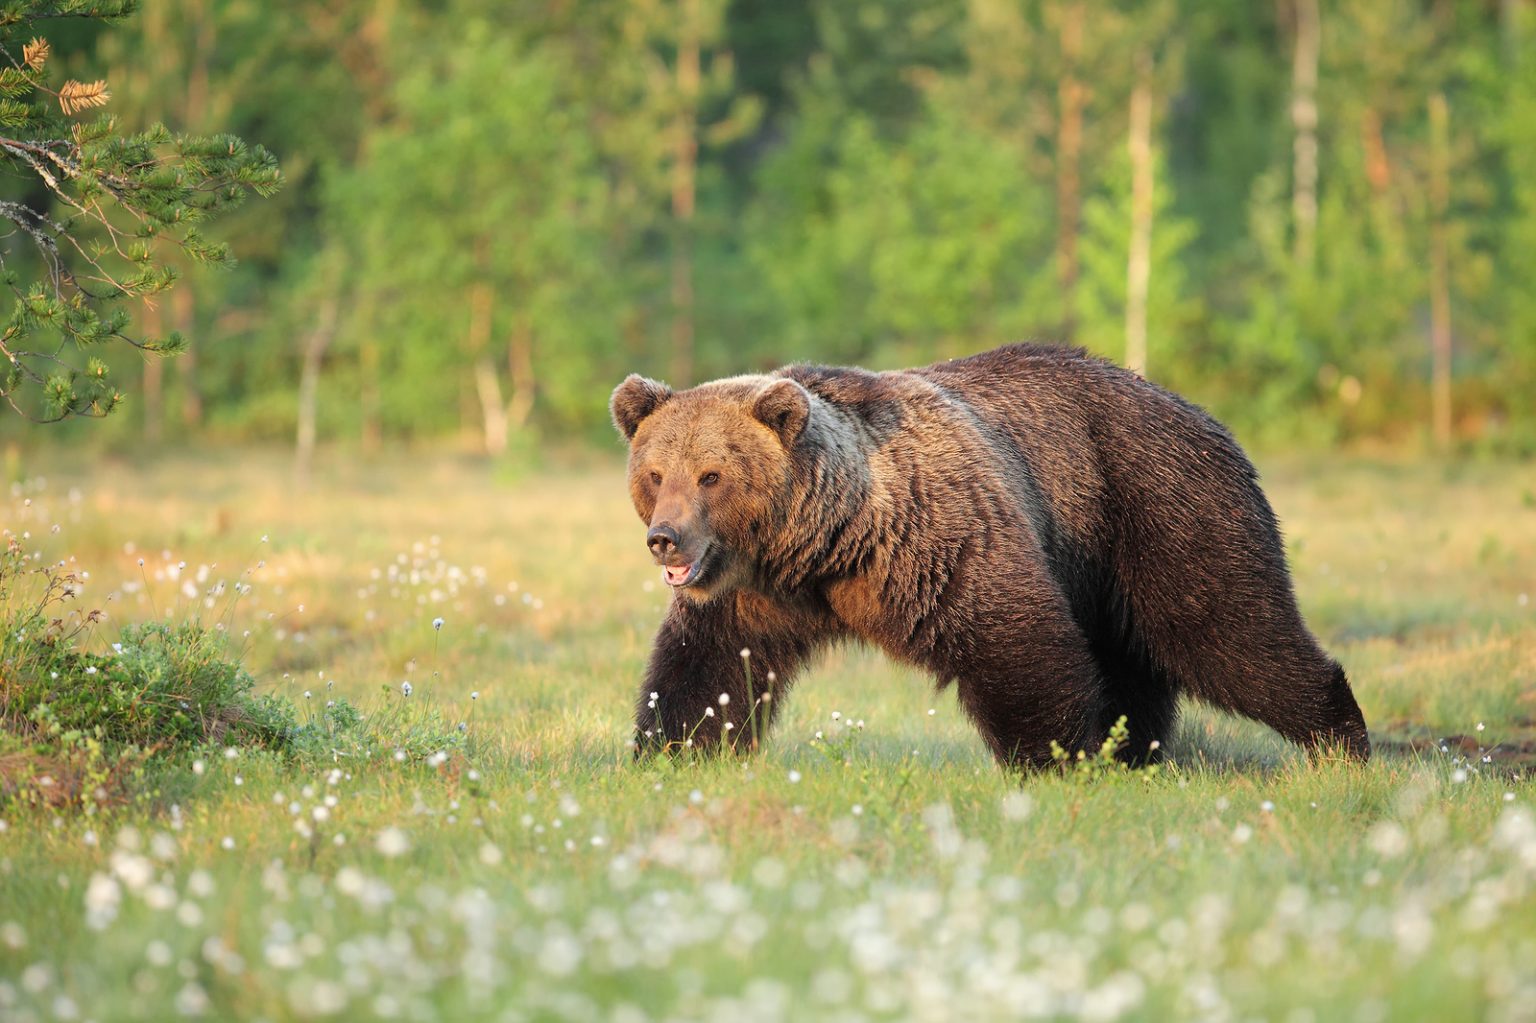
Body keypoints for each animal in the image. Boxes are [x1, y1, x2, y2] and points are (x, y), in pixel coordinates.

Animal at [605, 342, 1376, 764]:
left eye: (712, 474)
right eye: (656, 473)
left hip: (1158, 508)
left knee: (1231, 631)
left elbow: (1014, 639)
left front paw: (1054, 757)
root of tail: (1203, 412)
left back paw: (1340, 736)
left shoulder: (932, 542)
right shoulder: (750, 592)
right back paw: (1136, 750)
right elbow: (705, 669)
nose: (665, 538)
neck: (825, 544)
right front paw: (670, 749)